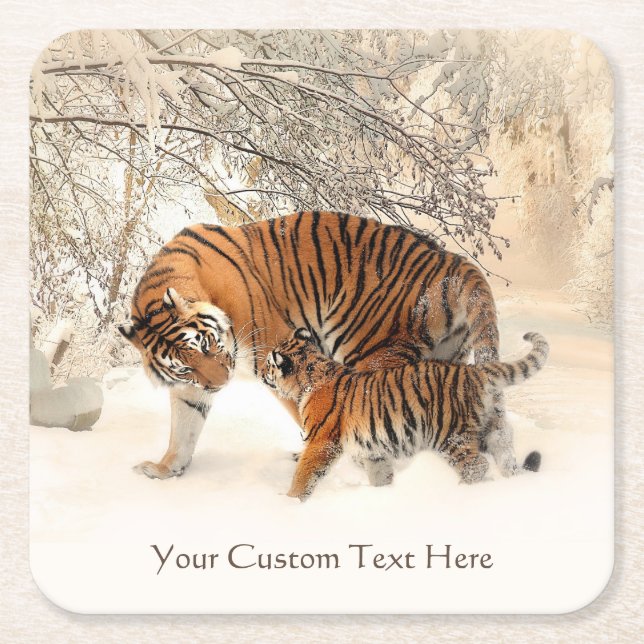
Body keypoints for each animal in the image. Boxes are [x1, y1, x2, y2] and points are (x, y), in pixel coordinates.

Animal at [118, 210, 515, 481]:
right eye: (185, 365)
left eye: (205, 344)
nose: (220, 384)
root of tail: (452, 261)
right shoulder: (191, 387)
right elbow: (184, 427)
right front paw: (165, 468)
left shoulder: (276, 352)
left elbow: (311, 413)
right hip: (446, 362)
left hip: (372, 353)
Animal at [261, 328, 549, 500]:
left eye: (268, 364)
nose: (262, 373)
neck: (311, 375)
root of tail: (475, 371)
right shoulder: (373, 450)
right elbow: (380, 474)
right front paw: (384, 495)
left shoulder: (321, 442)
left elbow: (304, 474)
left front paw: (290, 502)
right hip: (492, 430)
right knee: (505, 456)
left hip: (449, 435)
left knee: (476, 466)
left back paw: (461, 493)